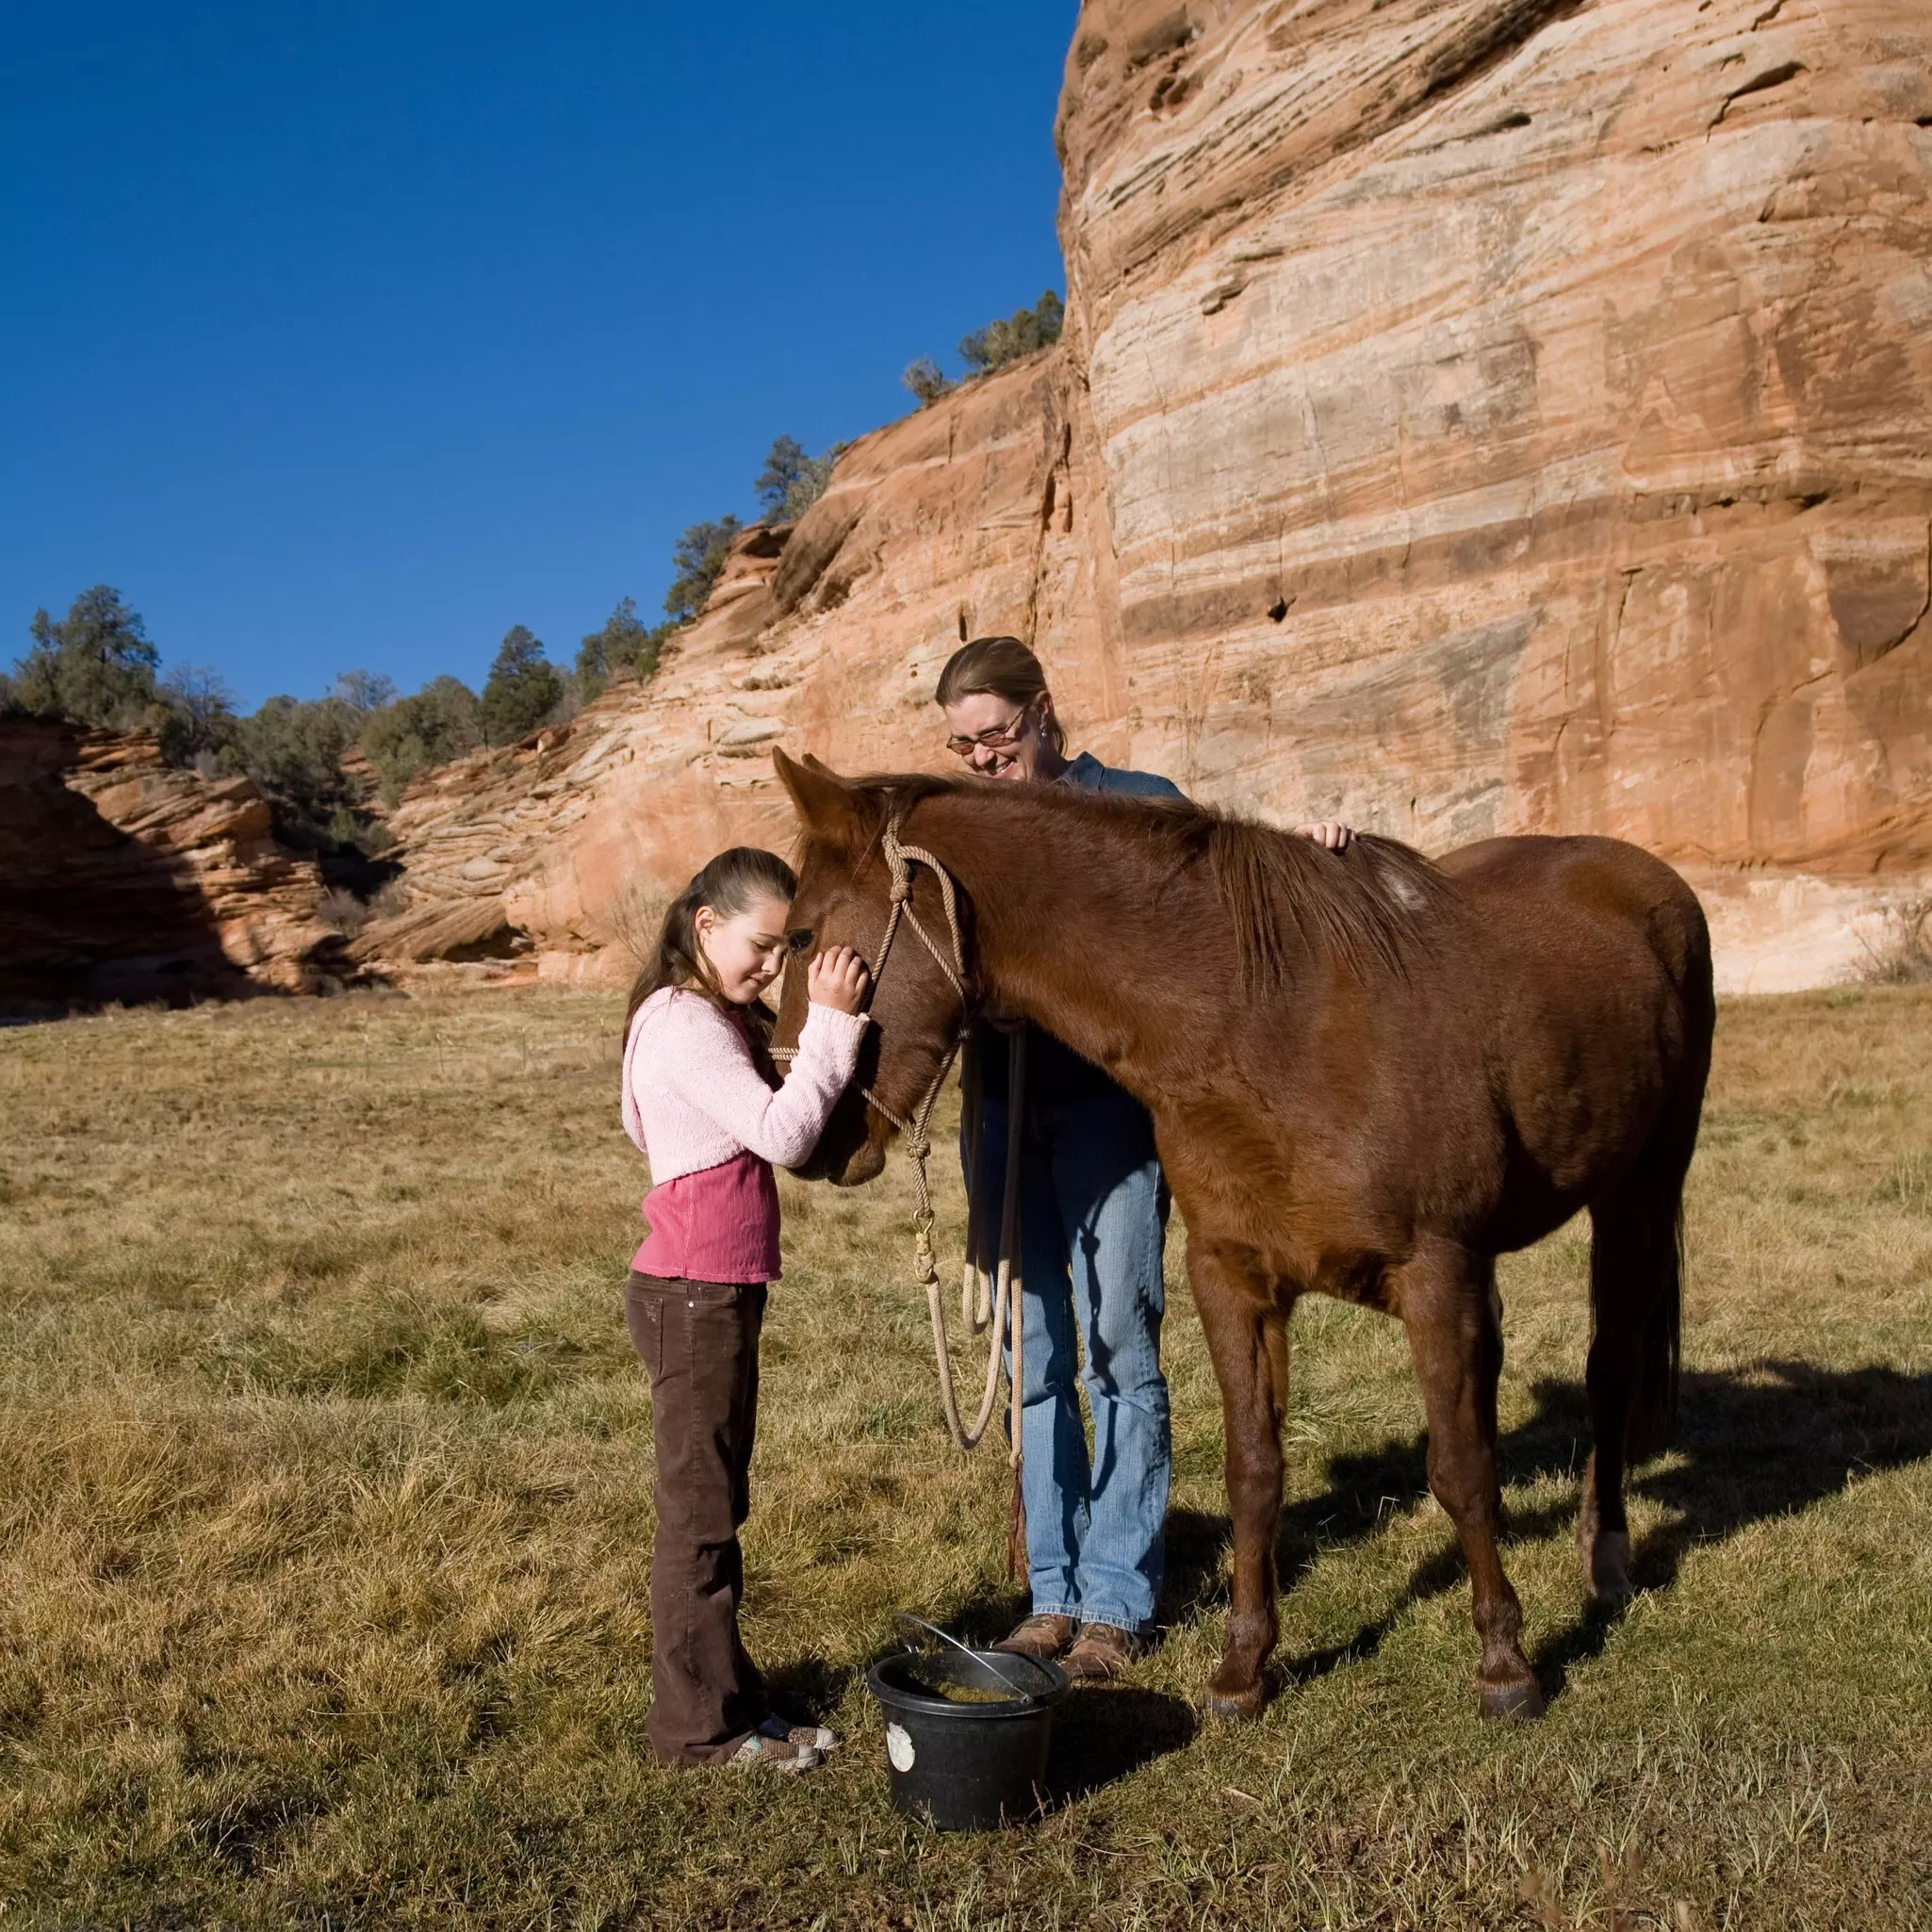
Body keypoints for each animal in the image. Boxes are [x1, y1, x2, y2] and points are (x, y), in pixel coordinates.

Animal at [768, 748, 1714, 1721]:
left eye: (799, 938)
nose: (813, 1134)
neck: (1272, 1020)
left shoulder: (1437, 1275)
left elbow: (1462, 1469)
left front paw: (1506, 1665)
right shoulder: (1233, 1280)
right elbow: (1254, 1470)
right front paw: (1242, 1669)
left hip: (1639, 1197)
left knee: (1610, 1375)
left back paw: (1607, 1559)